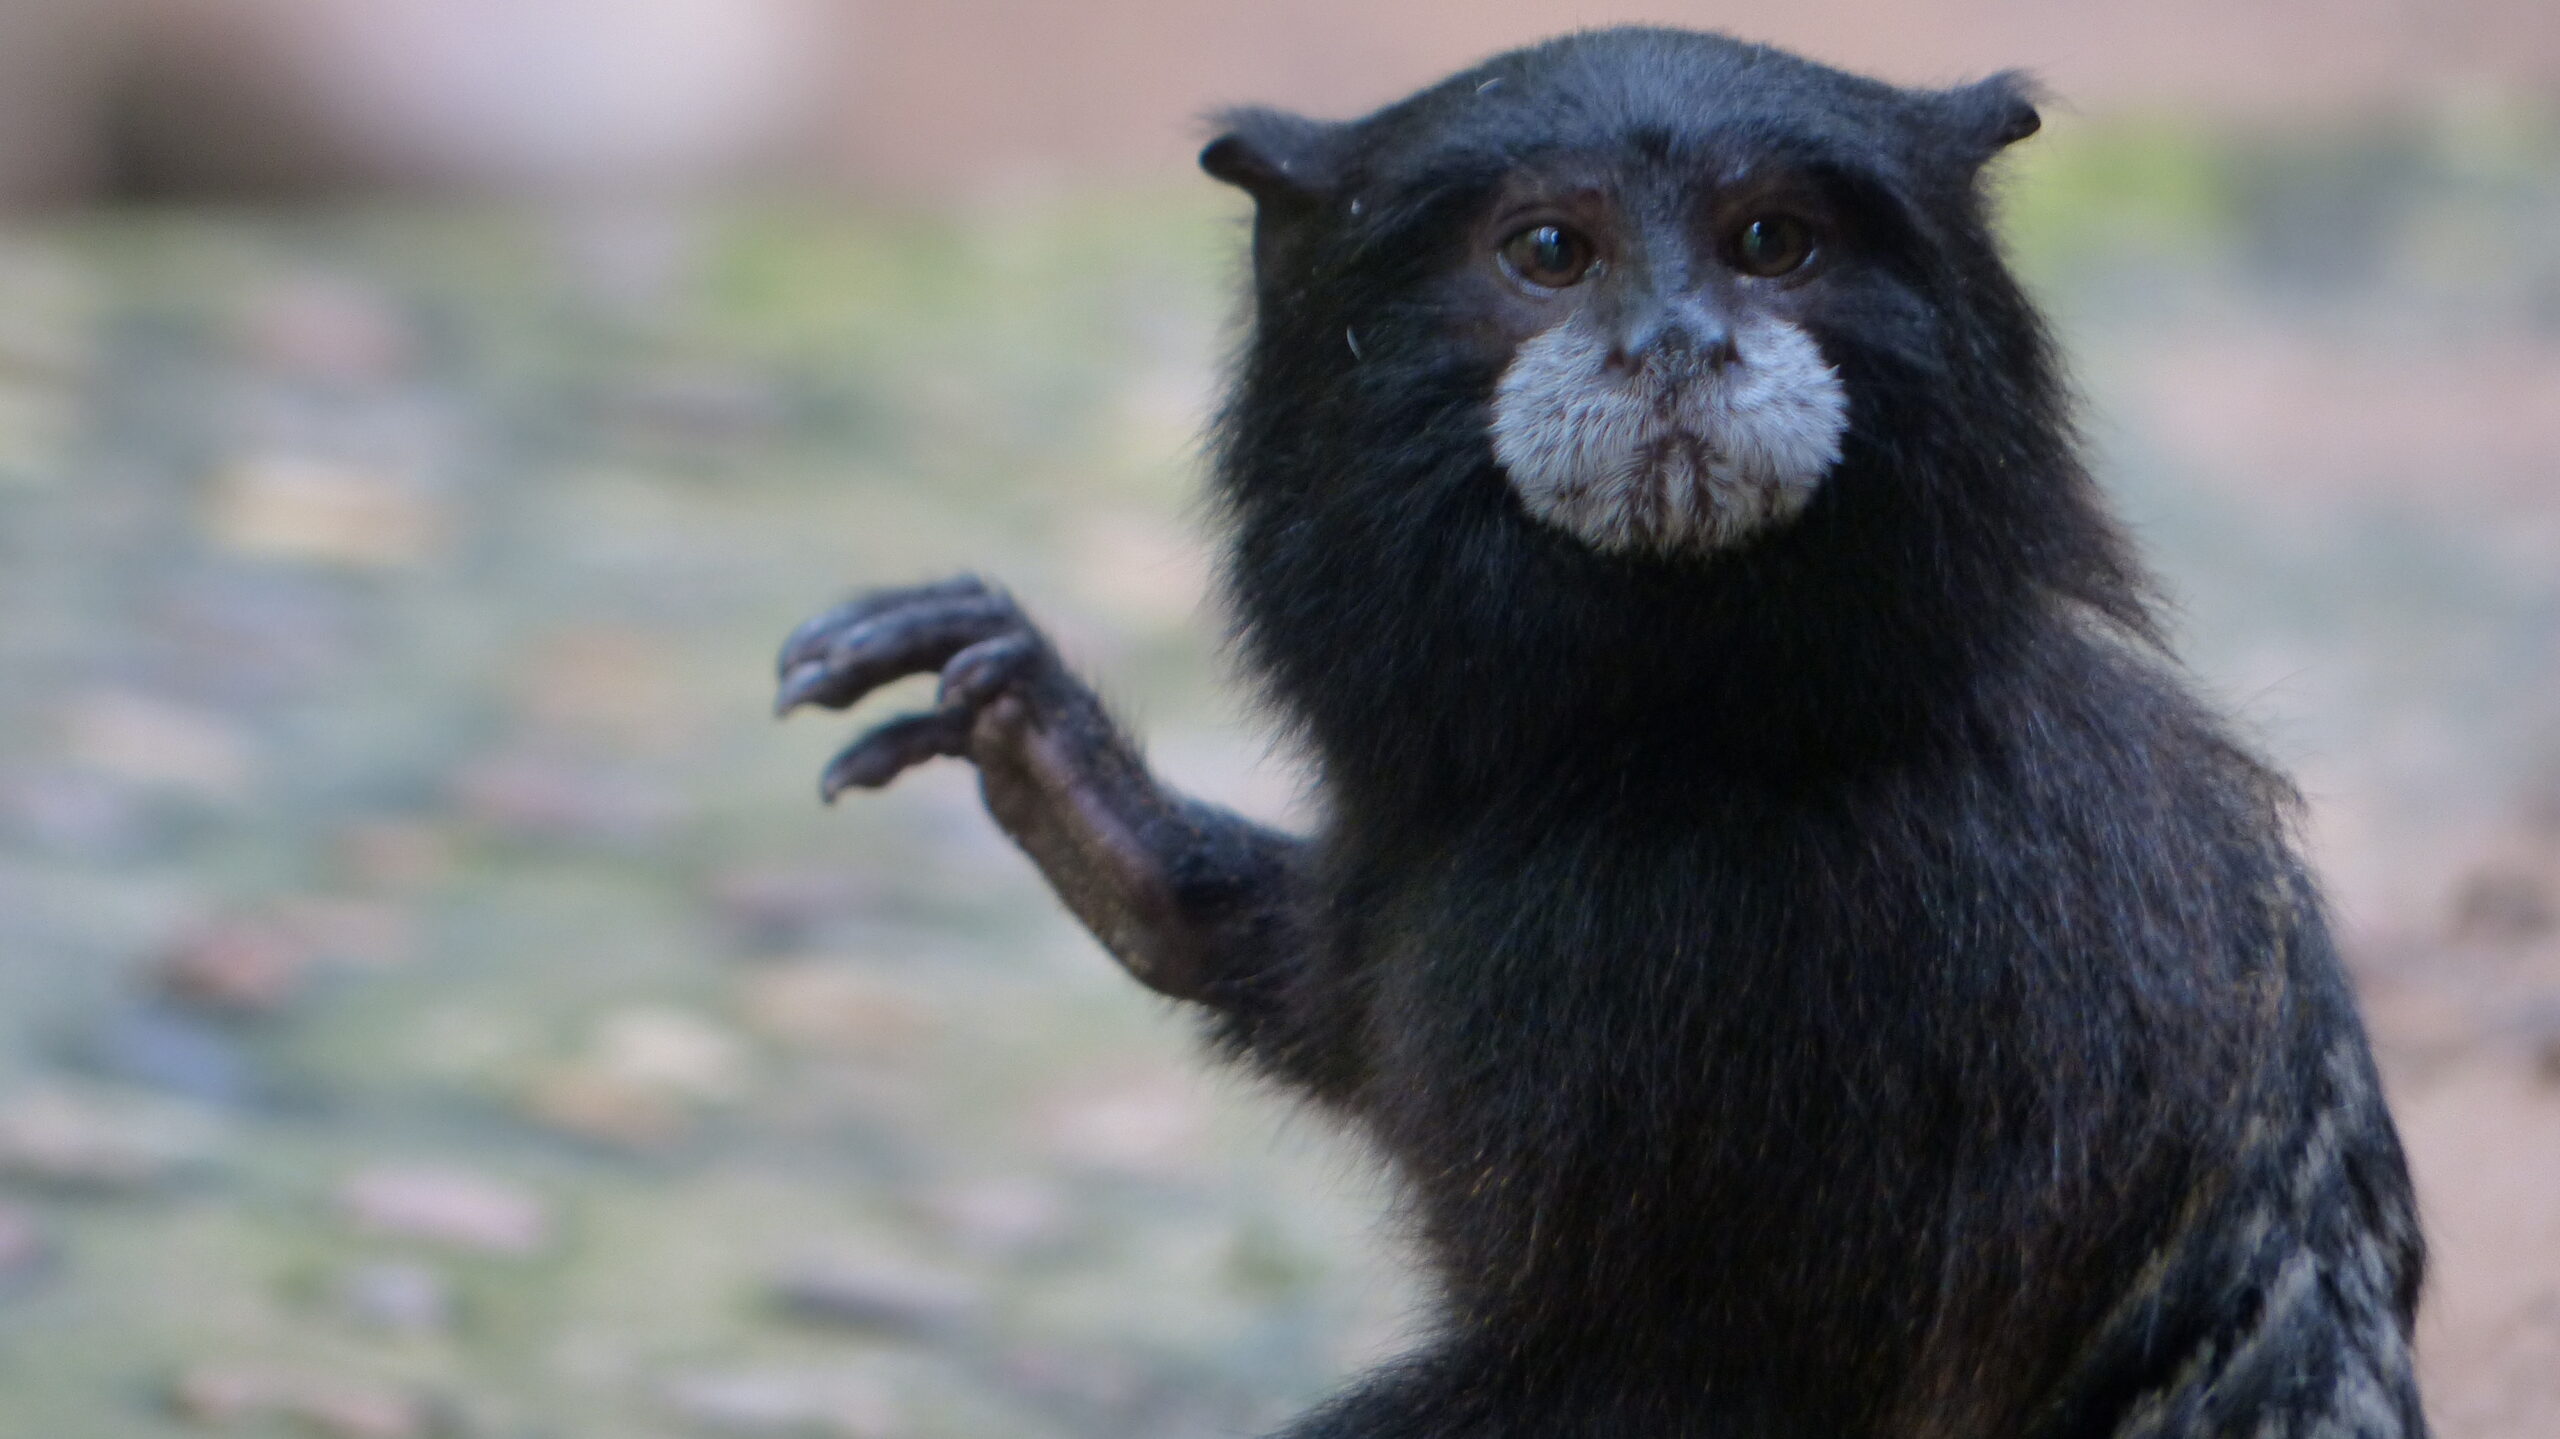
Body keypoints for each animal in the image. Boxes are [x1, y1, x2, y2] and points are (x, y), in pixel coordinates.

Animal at [773, 28, 2429, 1439]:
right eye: (1552, 253)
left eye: (1770, 242)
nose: (1677, 342)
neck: (1694, 751)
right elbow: (1340, 1007)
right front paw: (1079, 791)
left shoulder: (1830, 968)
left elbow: (1666, 1379)